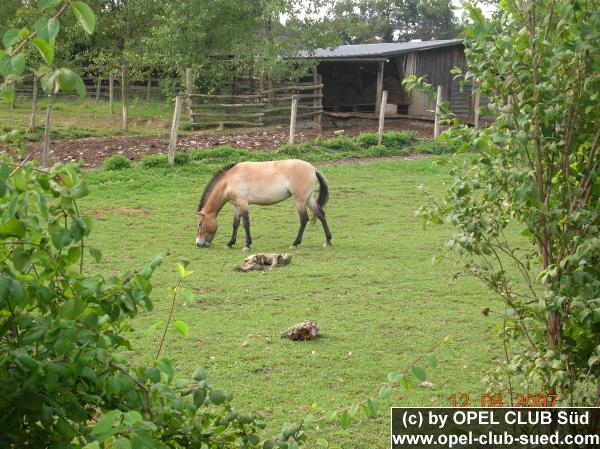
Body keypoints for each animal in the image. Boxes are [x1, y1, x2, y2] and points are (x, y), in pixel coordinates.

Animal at [195, 158, 330, 250]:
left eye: (200, 224)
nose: (198, 243)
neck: (229, 180)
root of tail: (313, 169)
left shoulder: (243, 203)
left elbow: (246, 223)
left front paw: (247, 245)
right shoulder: (237, 205)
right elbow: (235, 224)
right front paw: (230, 243)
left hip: (300, 200)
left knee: (304, 219)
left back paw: (294, 244)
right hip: (308, 199)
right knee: (321, 214)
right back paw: (328, 241)